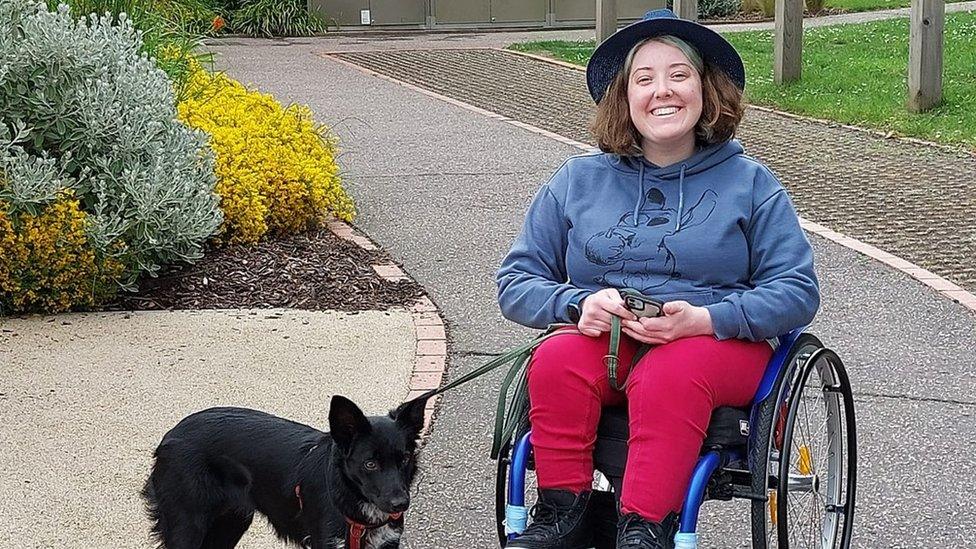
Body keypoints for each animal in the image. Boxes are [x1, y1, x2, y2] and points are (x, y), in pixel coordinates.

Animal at [142, 394, 428, 548]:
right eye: (370, 464)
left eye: (404, 459)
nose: (400, 504)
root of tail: (170, 436)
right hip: (187, 526)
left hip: (231, 520)